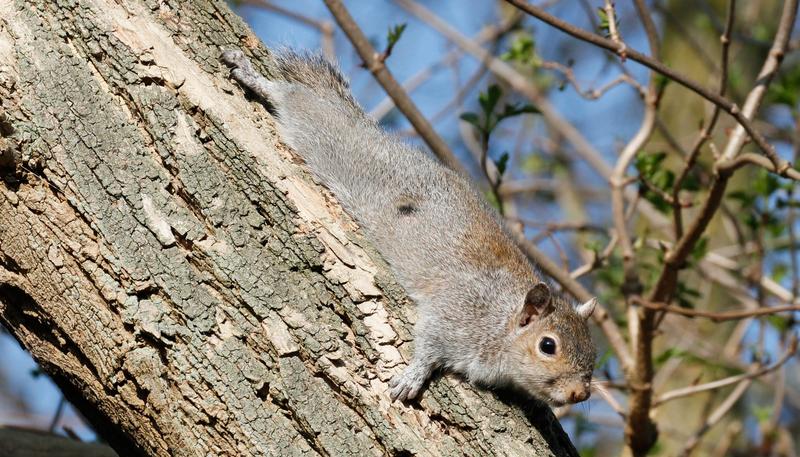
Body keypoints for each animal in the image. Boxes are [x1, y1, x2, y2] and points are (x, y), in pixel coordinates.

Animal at [222, 49, 596, 406]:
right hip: (326, 135)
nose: (580, 394)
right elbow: (428, 344)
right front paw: (413, 376)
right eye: (548, 346)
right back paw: (253, 75)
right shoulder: (456, 311)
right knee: (295, 97)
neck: (502, 321)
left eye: (593, 352)